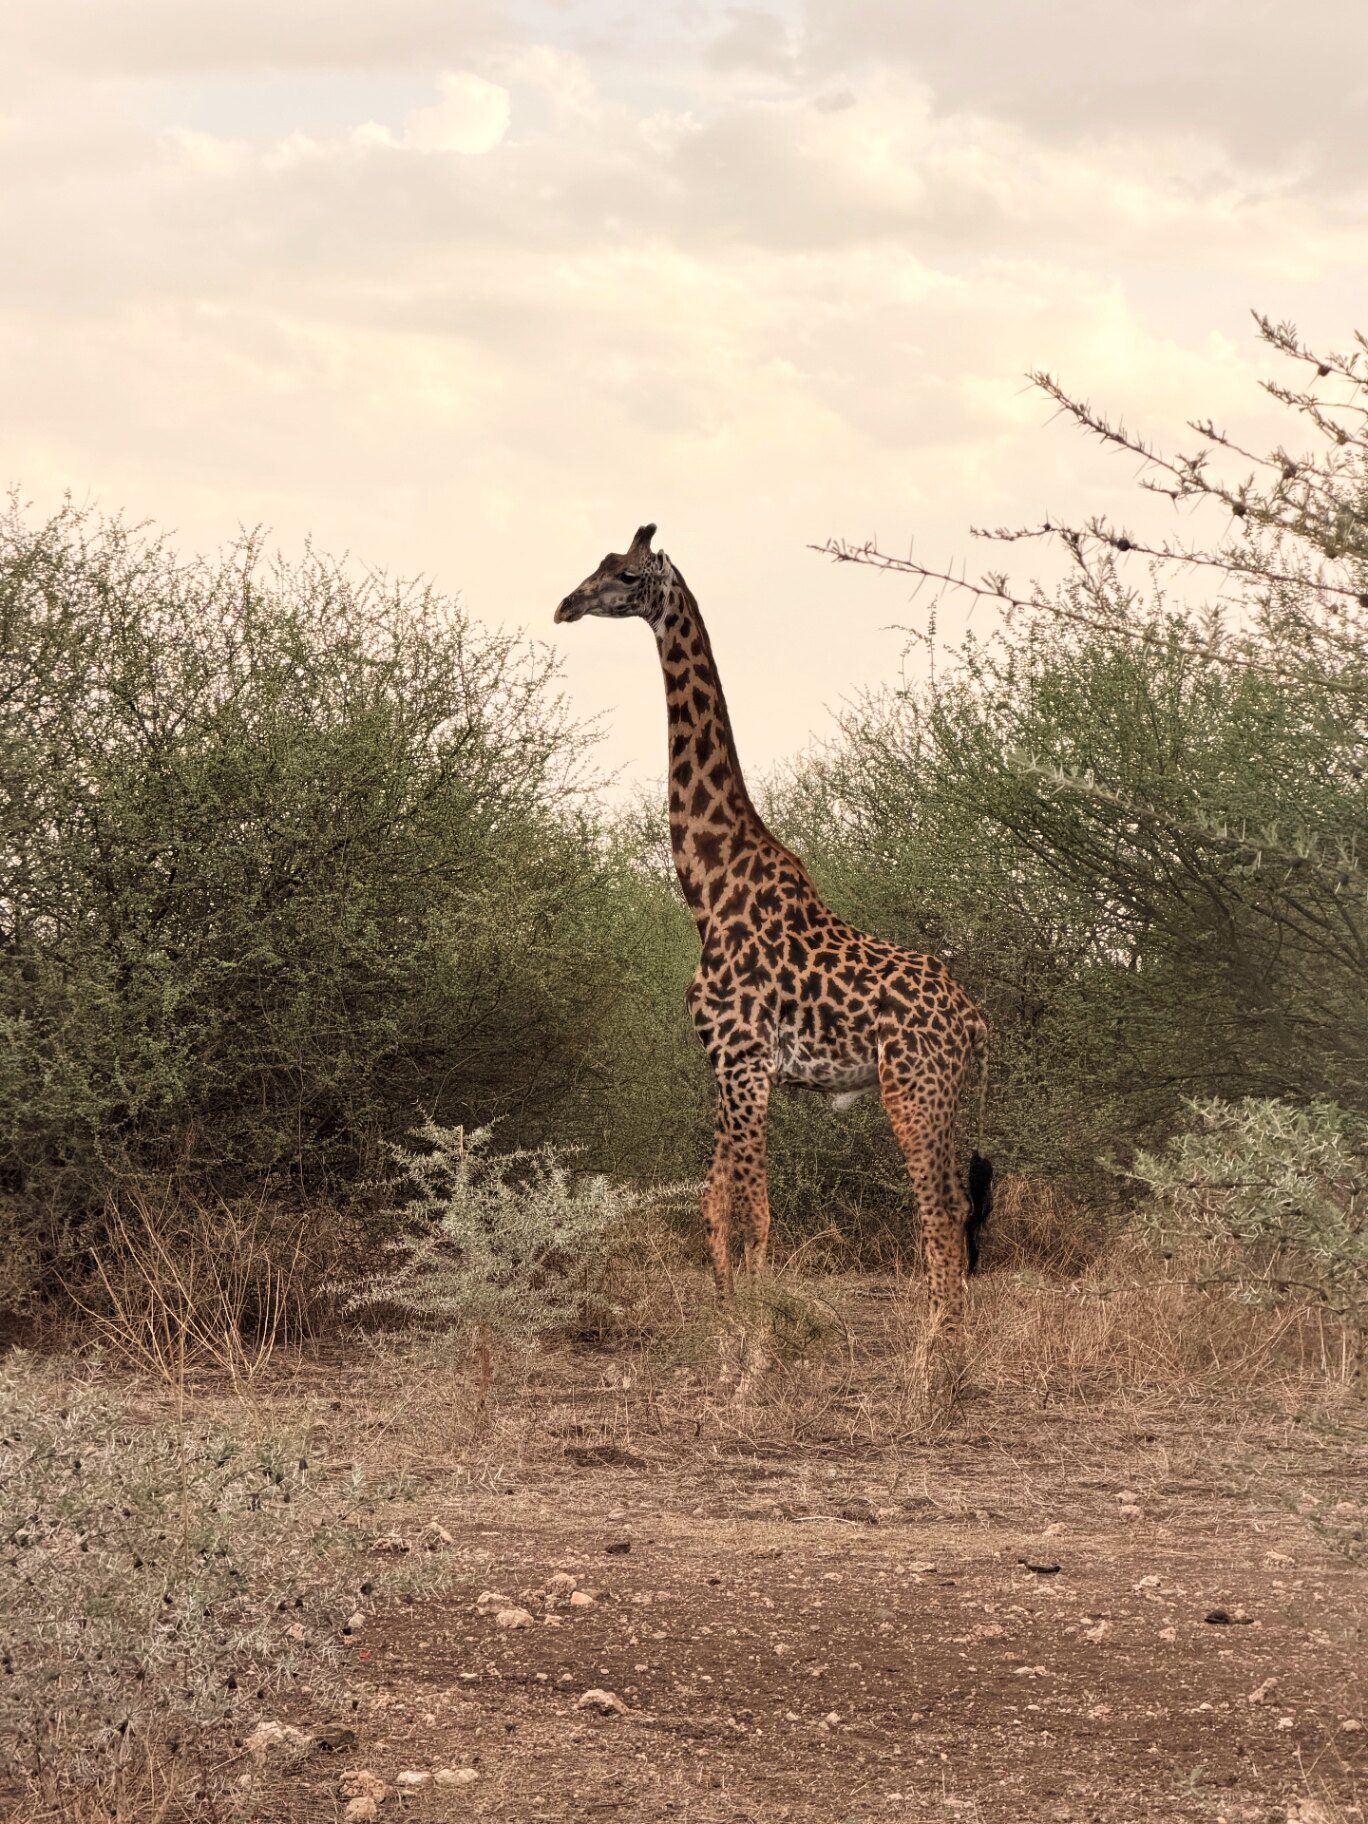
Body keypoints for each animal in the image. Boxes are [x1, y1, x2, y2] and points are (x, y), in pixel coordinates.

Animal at [555, 525, 993, 1363]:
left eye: (624, 575)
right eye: (593, 564)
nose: (563, 604)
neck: (707, 889)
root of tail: (974, 1021)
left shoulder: (745, 1062)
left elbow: (755, 1210)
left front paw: (757, 1342)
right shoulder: (726, 1065)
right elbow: (714, 1205)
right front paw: (730, 1328)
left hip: (912, 1089)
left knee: (939, 1209)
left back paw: (937, 1357)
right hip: (945, 1095)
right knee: (955, 1203)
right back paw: (945, 1347)